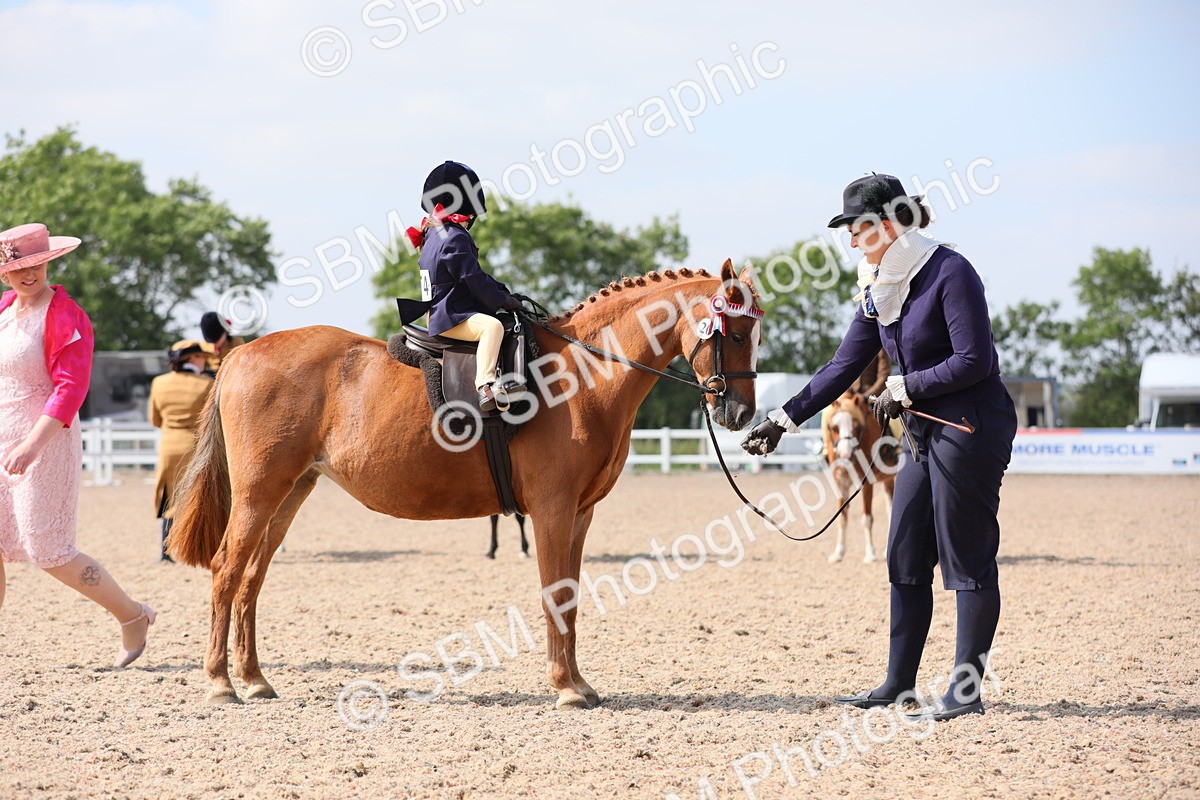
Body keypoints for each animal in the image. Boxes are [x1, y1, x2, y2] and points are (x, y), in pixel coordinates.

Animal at [167, 260, 762, 708]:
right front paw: (565, 688)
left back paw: (254, 680)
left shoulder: (580, 512)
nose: (739, 414)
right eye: (734, 332)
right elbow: (555, 592)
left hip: (289, 493)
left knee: (251, 579)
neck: (583, 376)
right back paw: (220, 683)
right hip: (258, 494)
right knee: (227, 570)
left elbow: (570, 596)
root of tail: (243, 353)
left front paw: (579, 683)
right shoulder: (552, 508)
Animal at [819, 351, 897, 563]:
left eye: (856, 426)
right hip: (888, 479)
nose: (845, 454)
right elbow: (842, 516)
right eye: (833, 427)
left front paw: (870, 554)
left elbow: (866, 518)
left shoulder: (866, 483)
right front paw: (838, 552)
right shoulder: (840, 482)